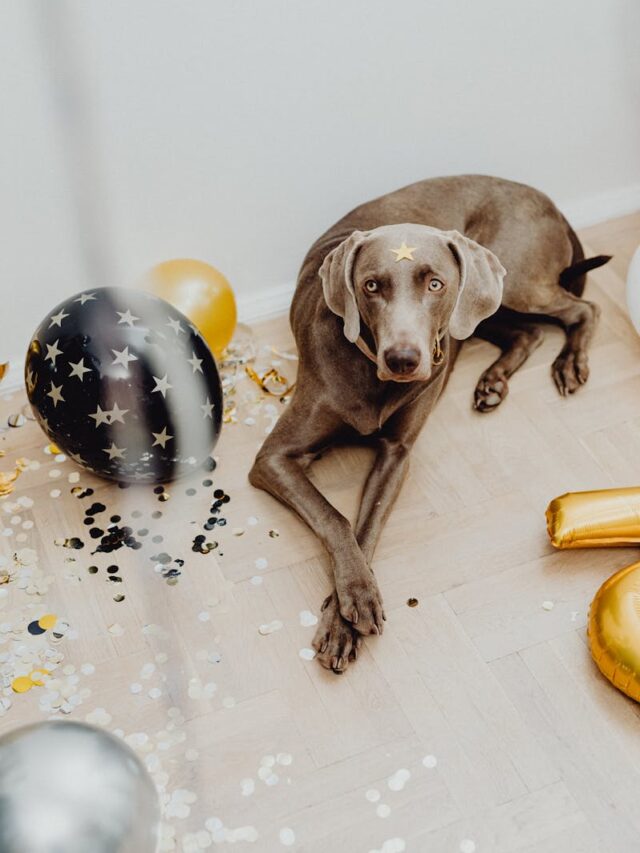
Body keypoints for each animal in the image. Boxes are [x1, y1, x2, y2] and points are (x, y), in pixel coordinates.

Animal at [249, 176, 608, 676]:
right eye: (371, 285)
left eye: (435, 283)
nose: (403, 359)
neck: (372, 375)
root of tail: (545, 199)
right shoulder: (275, 458)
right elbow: (337, 519)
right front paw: (351, 607)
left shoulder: (396, 455)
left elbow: (365, 526)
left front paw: (343, 618)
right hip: (488, 307)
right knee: (530, 330)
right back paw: (494, 382)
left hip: (511, 282)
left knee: (582, 309)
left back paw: (570, 362)